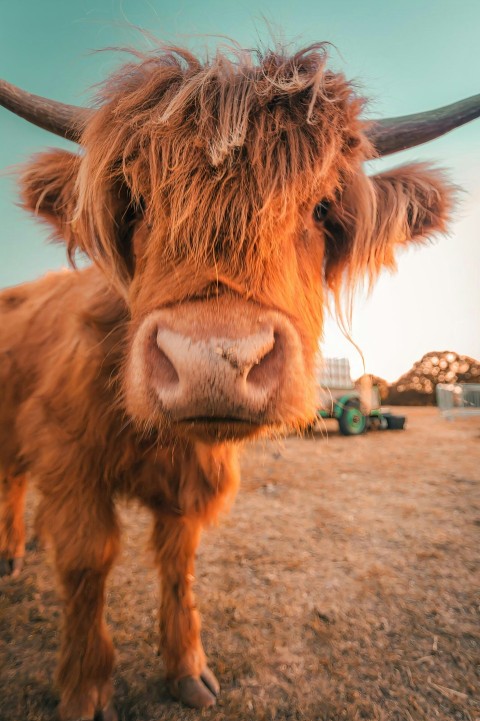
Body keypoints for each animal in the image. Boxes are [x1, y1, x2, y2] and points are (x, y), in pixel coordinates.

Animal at [0, 43, 479, 721]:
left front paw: (186, 669)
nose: (214, 360)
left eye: (323, 209)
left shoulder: (191, 485)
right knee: (11, 481)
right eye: (133, 204)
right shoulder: (71, 457)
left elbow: (178, 564)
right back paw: (13, 552)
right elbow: (88, 564)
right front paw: (86, 688)